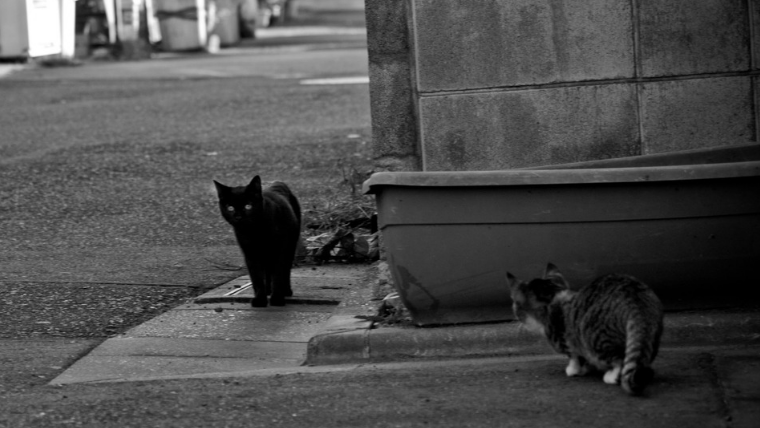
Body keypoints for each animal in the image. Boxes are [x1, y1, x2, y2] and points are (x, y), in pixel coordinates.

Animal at [212, 176, 302, 306]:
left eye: (248, 206)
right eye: (230, 208)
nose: (238, 217)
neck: (255, 231)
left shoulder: (280, 250)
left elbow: (278, 275)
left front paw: (277, 299)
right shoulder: (250, 253)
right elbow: (257, 278)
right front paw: (260, 299)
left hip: (291, 245)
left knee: (286, 269)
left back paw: (286, 290)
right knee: (268, 271)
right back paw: (268, 290)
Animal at [508, 262, 664, 396]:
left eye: (515, 305)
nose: (516, 317)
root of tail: (634, 297)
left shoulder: (564, 340)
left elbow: (574, 357)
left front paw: (573, 370)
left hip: (596, 339)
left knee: (619, 359)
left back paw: (611, 376)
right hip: (651, 333)